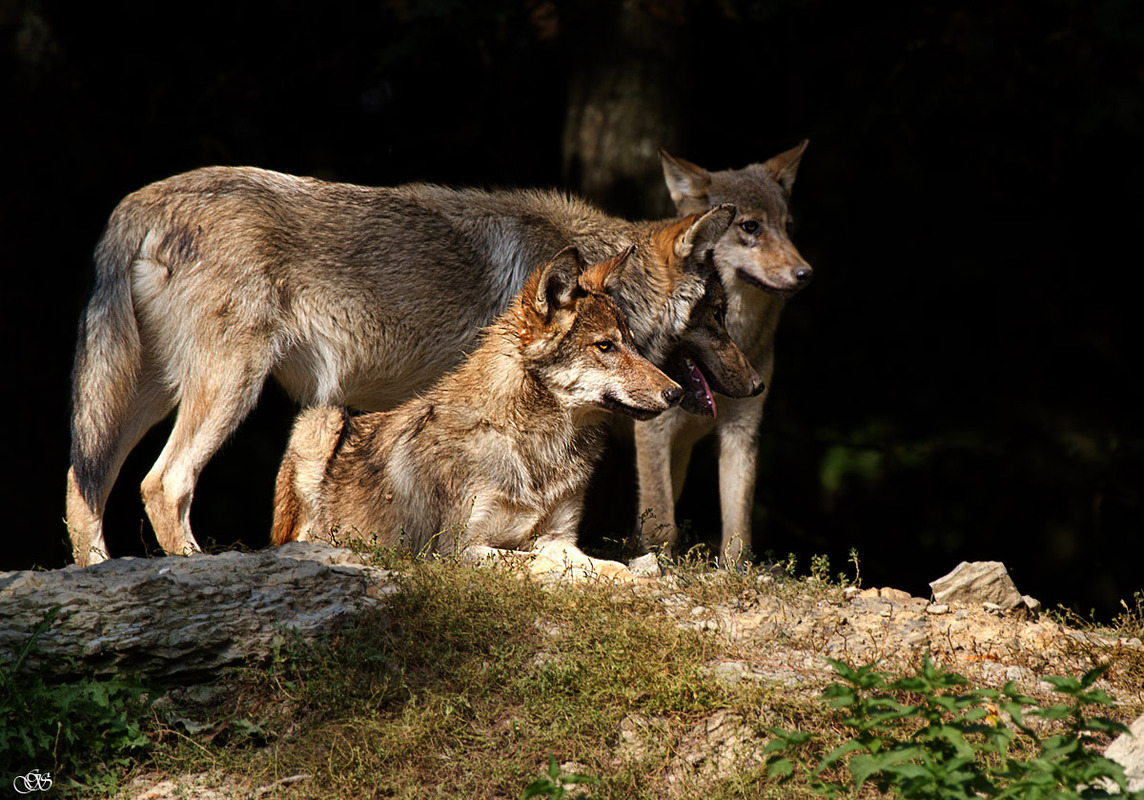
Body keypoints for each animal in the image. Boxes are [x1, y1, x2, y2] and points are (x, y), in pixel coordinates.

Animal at [271, 246, 680, 579]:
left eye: (633, 345)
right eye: (605, 346)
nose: (676, 392)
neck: (535, 446)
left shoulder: (557, 536)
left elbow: (593, 563)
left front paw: (630, 575)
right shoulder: (455, 548)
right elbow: (538, 562)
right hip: (323, 416)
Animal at [634, 142, 812, 564]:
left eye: (788, 227)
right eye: (750, 227)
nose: (806, 273)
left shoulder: (741, 431)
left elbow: (738, 531)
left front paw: (734, 571)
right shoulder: (653, 429)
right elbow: (661, 522)